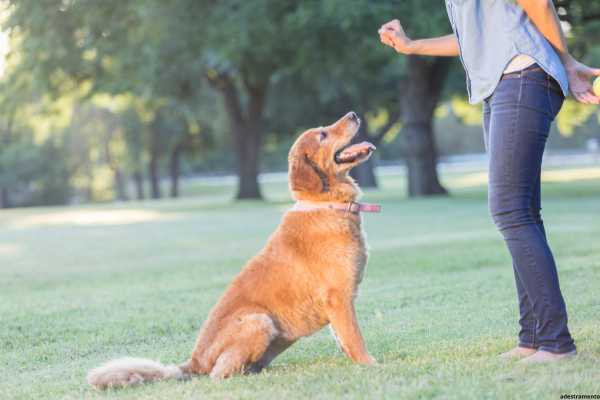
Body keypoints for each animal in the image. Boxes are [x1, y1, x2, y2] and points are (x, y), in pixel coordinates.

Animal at [88, 111, 380, 390]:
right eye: (322, 134)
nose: (353, 114)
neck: (327, 204)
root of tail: (194, 361)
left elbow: (343, 339)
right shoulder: (338, 298)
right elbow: (355, 338)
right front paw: (371, 365)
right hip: (259, 321)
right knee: (219, 374)